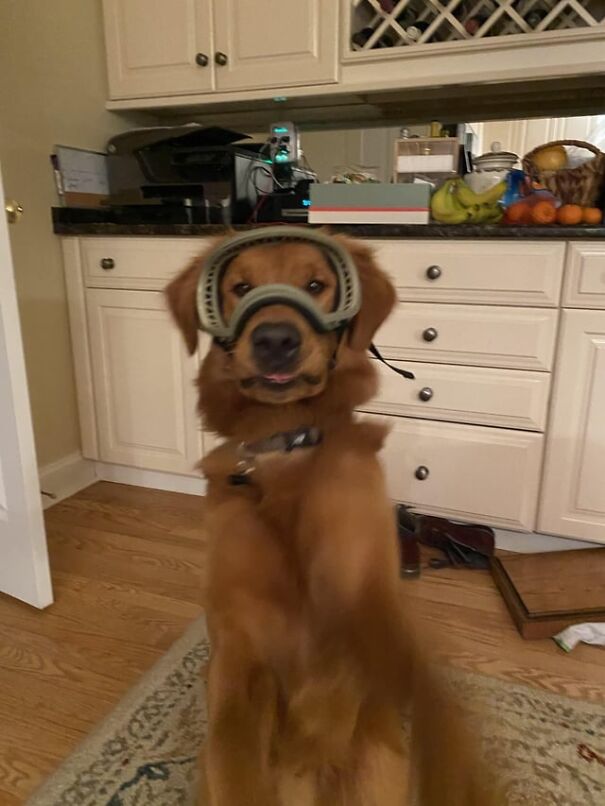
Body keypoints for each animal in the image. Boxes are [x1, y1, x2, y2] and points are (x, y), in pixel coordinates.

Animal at [165, 229, 504, 806]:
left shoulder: (368, 610)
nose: (275, 339)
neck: (286, 446)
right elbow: (233, 754)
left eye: (316, 285)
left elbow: (430, 702)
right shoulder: (238, 645)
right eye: (240, 287)